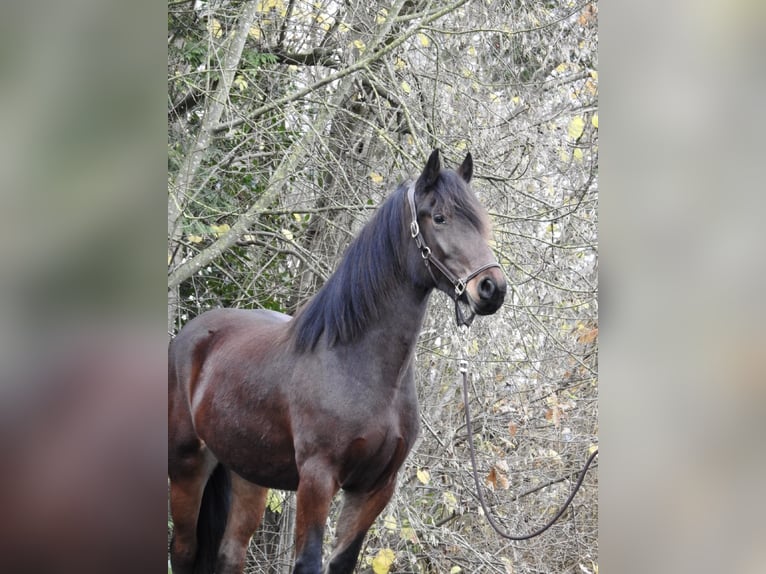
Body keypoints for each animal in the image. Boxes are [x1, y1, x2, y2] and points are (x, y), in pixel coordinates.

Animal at [168, 150, 508, 574]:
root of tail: (191, 336)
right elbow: (308, 561)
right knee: (183, 550)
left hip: (246, 471)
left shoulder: (375, 487)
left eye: (479, 221)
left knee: (230, 553)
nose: (492, 288)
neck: (358, 366)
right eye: (440, 217)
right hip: (186, 466)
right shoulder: (317, 479)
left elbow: (343, 560)